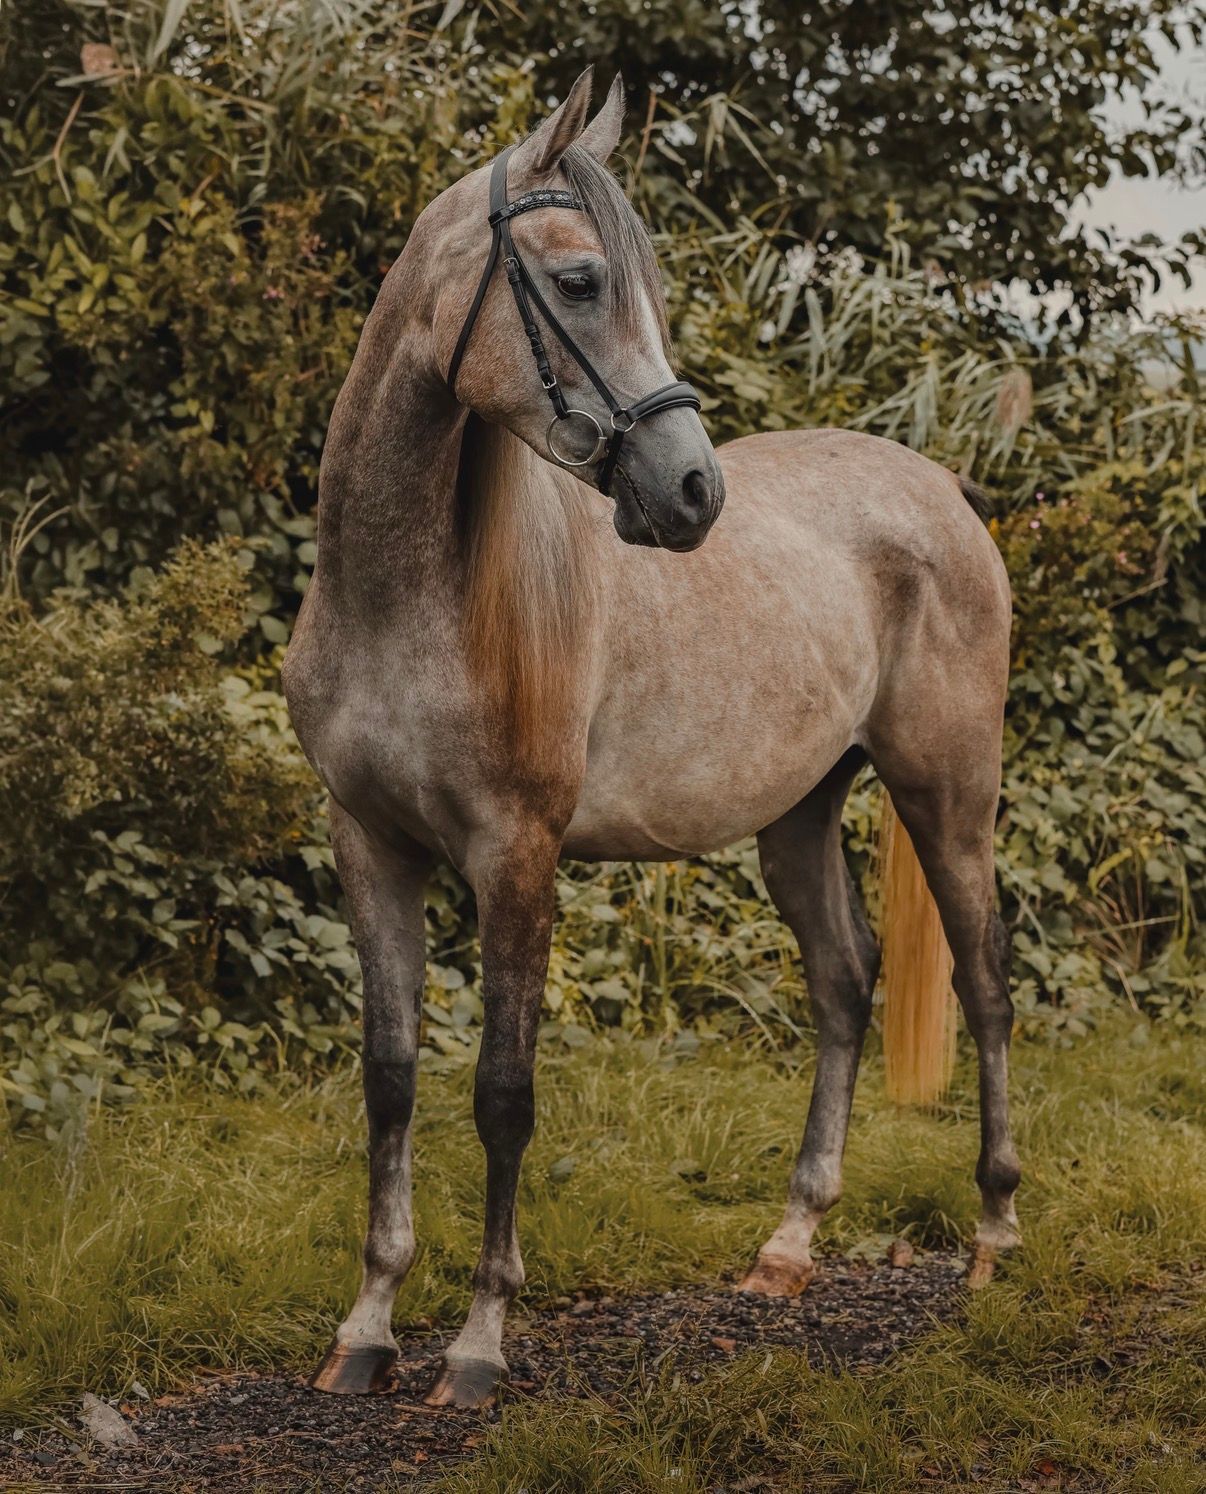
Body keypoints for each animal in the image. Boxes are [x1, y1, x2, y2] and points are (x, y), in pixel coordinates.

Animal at [282, 67, 1020, 1410]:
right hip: (798, 816)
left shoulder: (516, 857)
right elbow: (391, 1080)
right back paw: (789, 1247)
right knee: (844, 983)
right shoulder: (370, 847)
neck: (407, 598)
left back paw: (996, 1234)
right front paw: (366, 1329)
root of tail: (943, 487)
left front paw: (478, 1346)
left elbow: (503, 1095)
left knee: (984, 983)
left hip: (947, 794)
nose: (691, 492)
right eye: (579, 283)